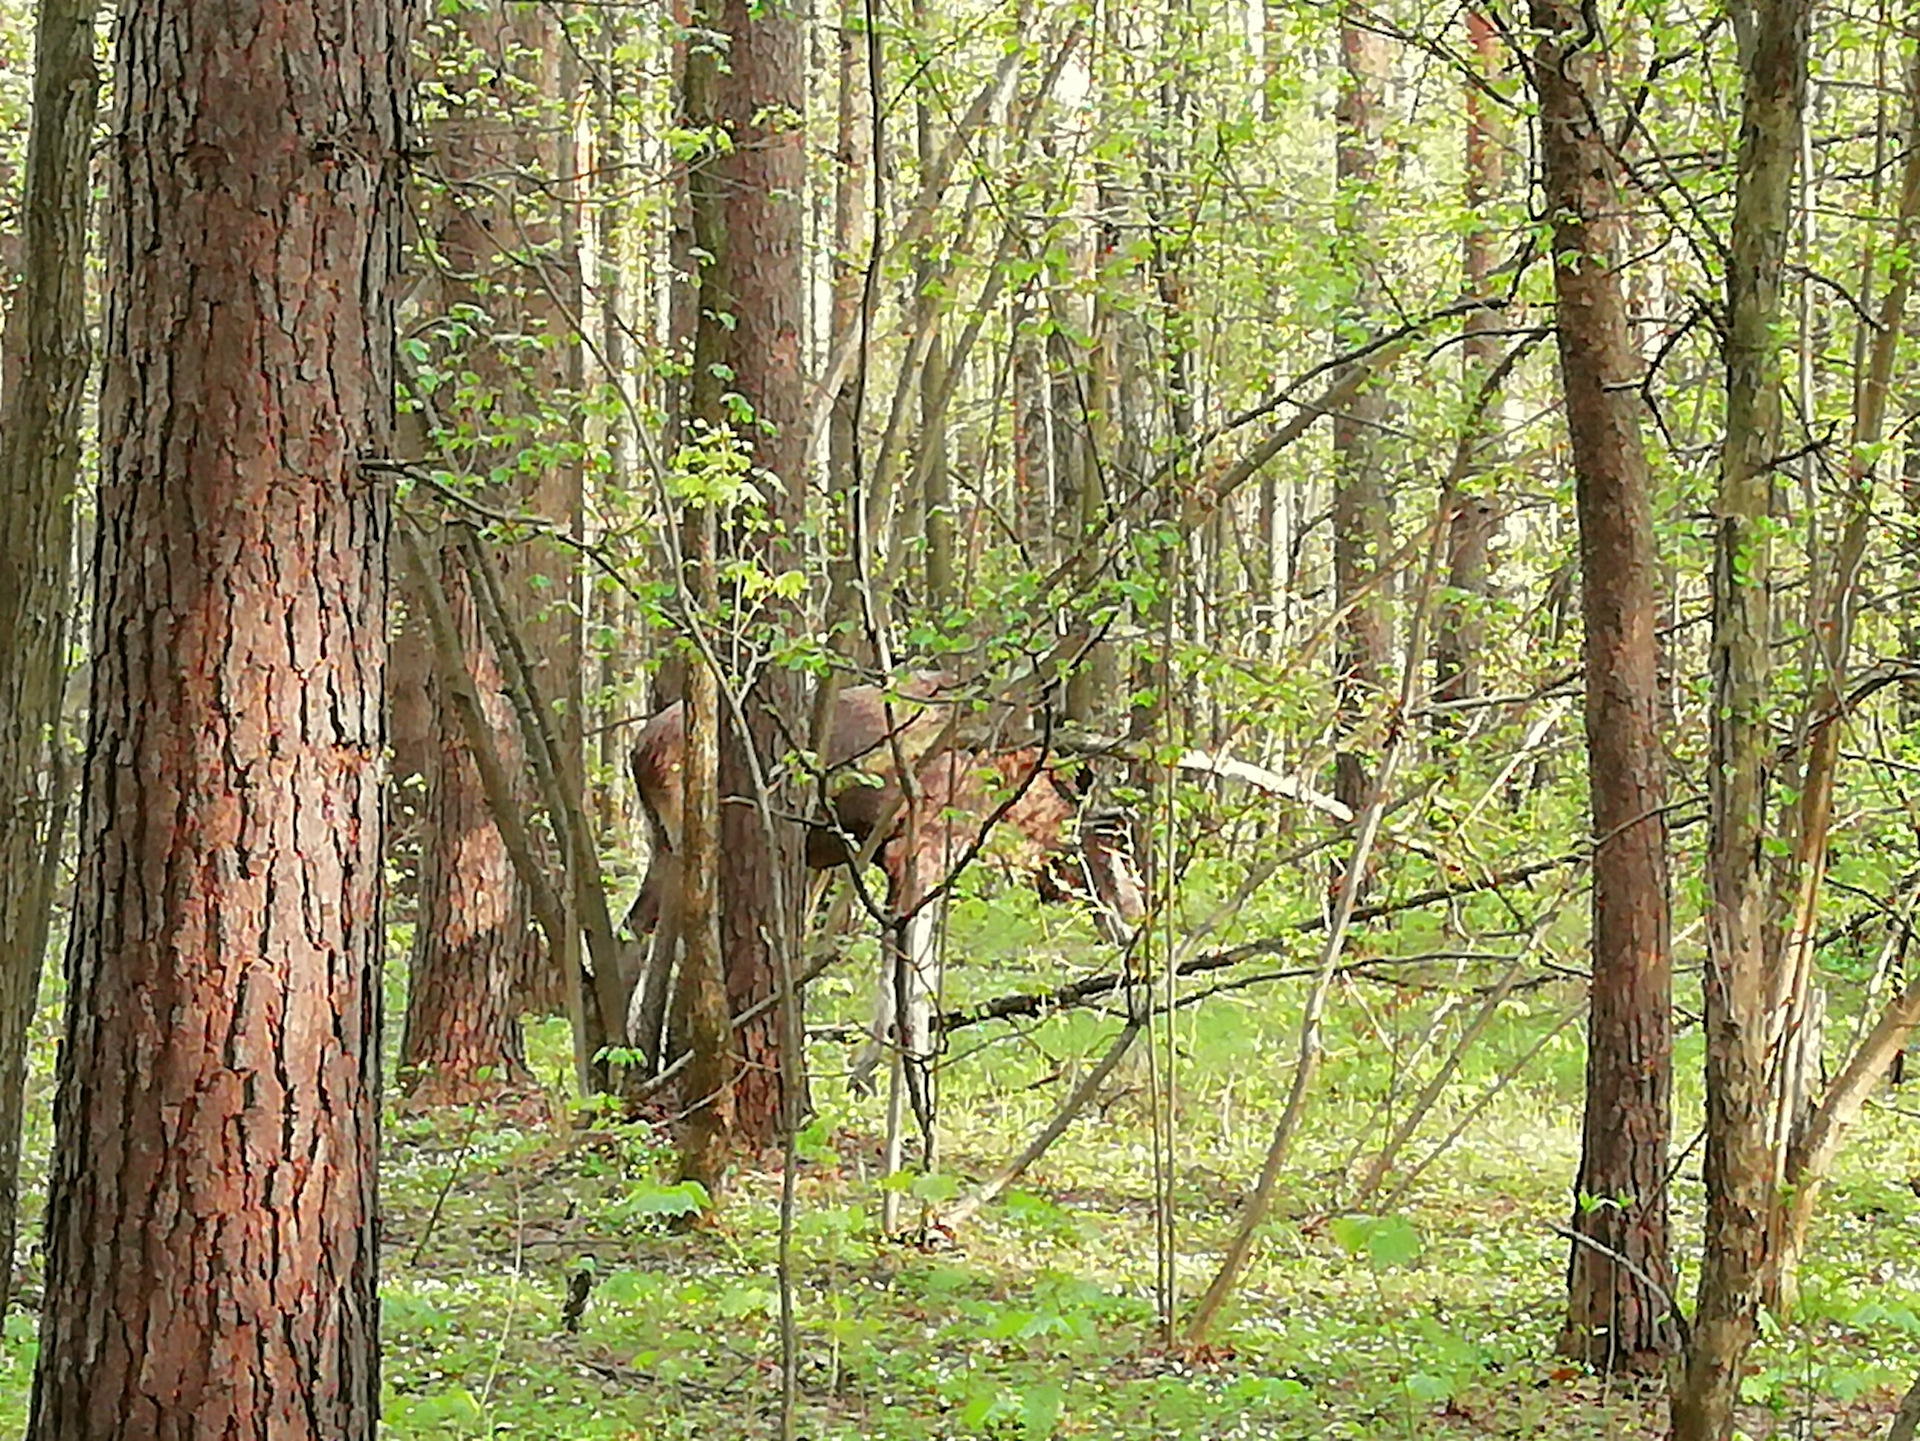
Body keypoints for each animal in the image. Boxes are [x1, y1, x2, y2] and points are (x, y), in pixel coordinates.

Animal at [622, 675, 1144, 1089]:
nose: (1137, 916)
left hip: (663, 844)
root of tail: (637, 750)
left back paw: (631, 1056)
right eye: (1114, 847)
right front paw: (913, 1077)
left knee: (639, 928)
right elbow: (914, 980)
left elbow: (898, 970)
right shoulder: (917, 854)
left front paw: (869, 1070)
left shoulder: (899, 872)